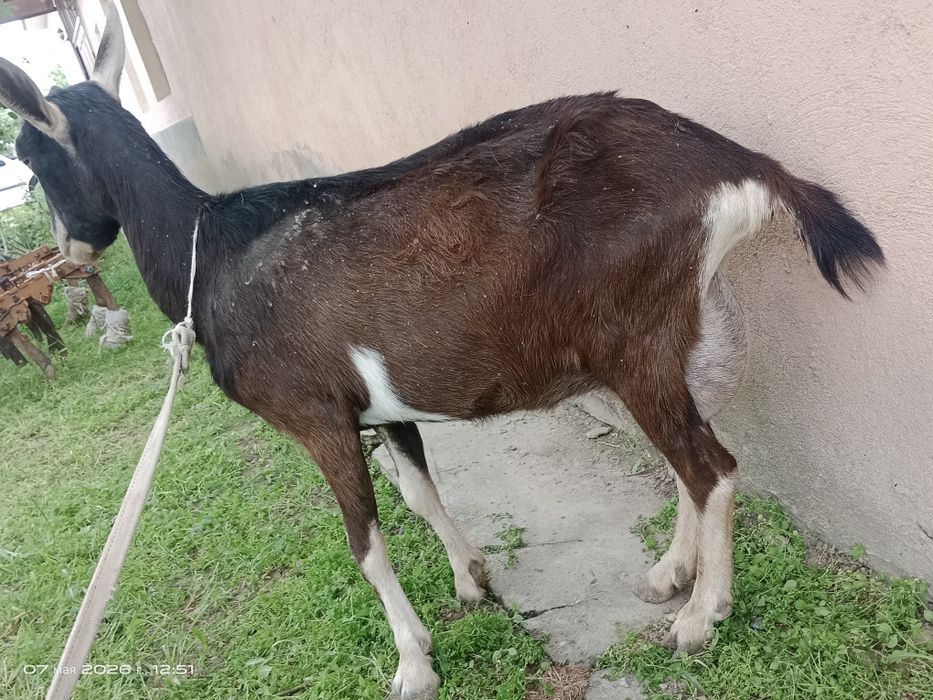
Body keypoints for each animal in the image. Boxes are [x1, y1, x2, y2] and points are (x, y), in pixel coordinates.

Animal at [0, 7, 883, 699]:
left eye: (33, 161)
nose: (68, 254)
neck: (211, 251)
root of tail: (740, 167)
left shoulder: (316, 416)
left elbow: (363, 541)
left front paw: (413, 665)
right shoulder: (380, 408)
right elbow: (421, 496)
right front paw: (470, 580)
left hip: (632, 338)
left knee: (711, 468)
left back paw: (700, 617)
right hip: (676, 333)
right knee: (688, 459)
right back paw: (671, 574)